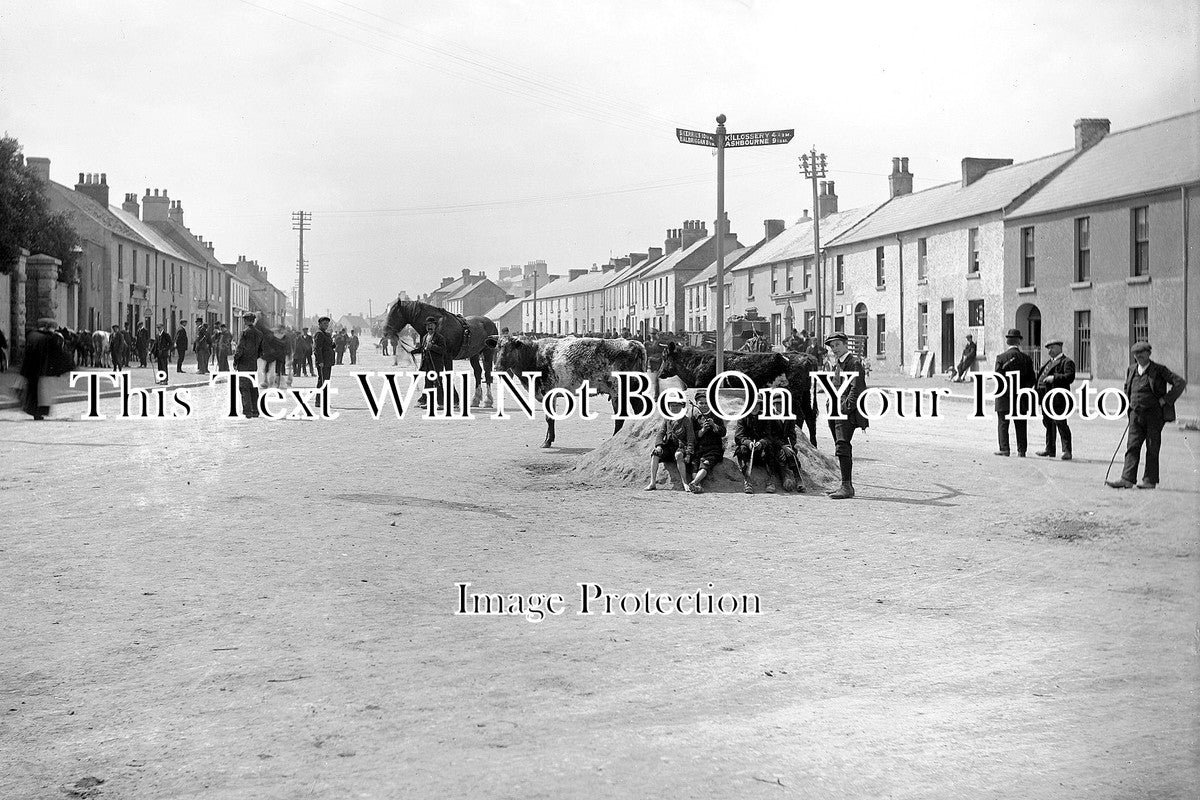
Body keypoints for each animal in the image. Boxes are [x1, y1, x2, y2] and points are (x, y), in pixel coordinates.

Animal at [492, 335, 648, 450]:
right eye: (497, 348)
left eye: (509, 349)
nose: (497, 367)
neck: (534, 356)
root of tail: (633, 343)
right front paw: (549, 439)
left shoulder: (548, 390)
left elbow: (549, 418)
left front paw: (547, 442)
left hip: (618, 390)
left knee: (621, 417)